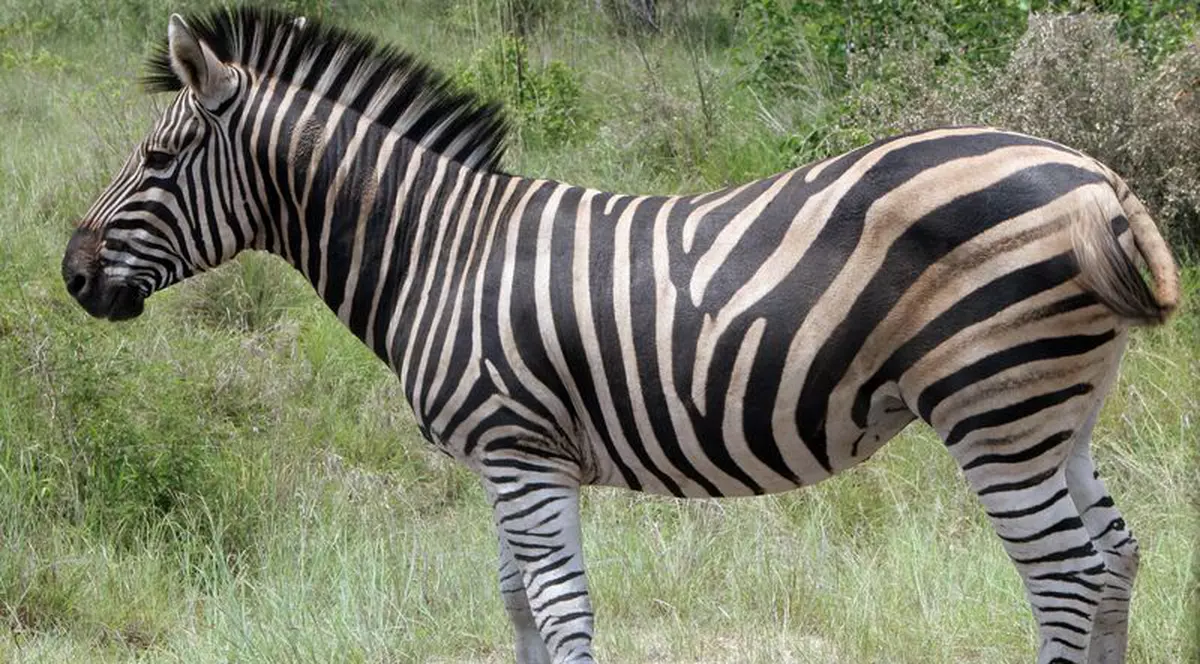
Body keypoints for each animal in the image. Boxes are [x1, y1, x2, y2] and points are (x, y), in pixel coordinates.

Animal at [60, 8, 1180, 664]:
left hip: (993, 406)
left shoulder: (518, 448)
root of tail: (1095, 175)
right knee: (1113, 557)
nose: (71, 275)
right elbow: (515, 600)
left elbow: (558, 605)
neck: (439, 250)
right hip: (1057, 409)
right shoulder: (504, 459)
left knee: (1065, 574)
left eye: (156, 161)